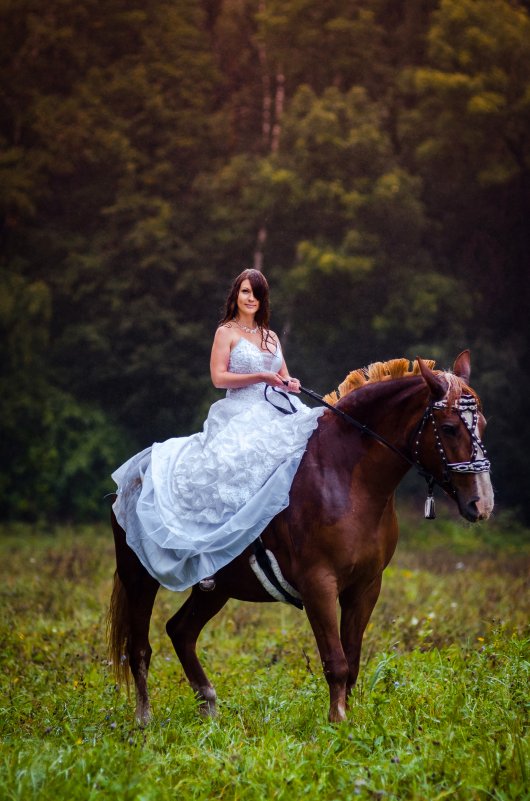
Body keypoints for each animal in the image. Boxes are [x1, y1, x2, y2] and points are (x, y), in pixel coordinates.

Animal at [106, 350, 490, 724]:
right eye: (449, 428)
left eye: (483, 424)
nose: (482, 503)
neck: (346, 478)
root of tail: (131, 475)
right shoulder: (318, 583)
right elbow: (336, 662)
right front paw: (337, 723)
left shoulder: (365, 586)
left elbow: (352, 662)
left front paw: (350, 723)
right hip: (139, 579)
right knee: (139, 649)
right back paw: (144, 719)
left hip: (216, 587)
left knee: (181, 631)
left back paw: (209, 706)